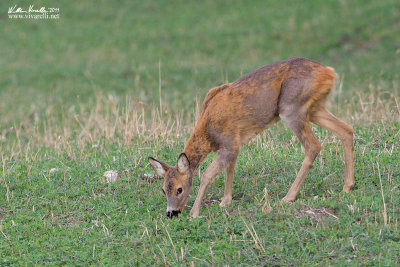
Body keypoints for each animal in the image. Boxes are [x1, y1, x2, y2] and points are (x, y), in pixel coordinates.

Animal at [148, 57, 354, 219]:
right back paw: (347, 186)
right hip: (314, 108)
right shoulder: (234, 144)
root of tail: (329, 72)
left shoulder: (229, 142)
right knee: (346, 129)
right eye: (163, 189)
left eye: (179, 189)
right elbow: (229, 169)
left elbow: (207, 175)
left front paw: (195, 212)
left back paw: (288, 197)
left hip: (292, 107)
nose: (171, 213)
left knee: (313, 146)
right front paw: (226, 201)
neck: (207, 131)